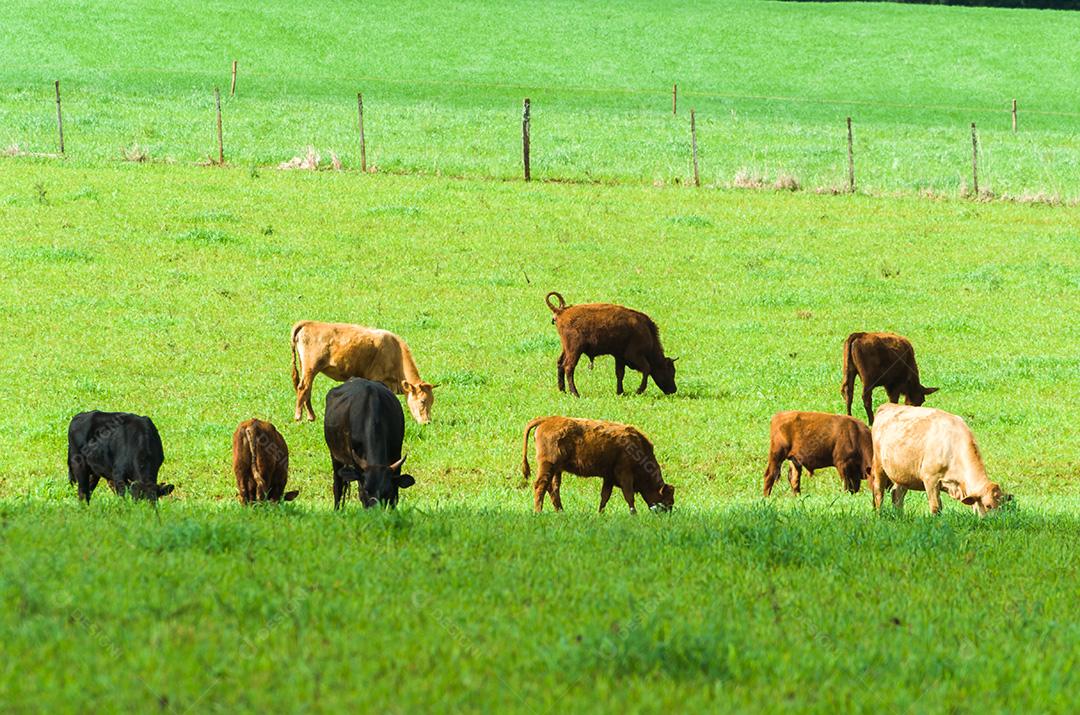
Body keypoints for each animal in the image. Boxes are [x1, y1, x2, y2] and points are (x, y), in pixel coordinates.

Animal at [293, 319, 436, 425]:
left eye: (432, 401)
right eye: (423, 401)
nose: (427, 422)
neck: (396, 352)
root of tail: (309, 323)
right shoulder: (377, 378)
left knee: (307, 390)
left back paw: (311, 417)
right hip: (311, 368)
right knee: (303, 388)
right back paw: (298, 417)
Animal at [321, 380, 414, 509]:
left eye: (387, 491)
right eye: (365, 490)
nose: (375, 510)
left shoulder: (396, 456)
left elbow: (395, 497)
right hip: (335, 456)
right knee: (338, 486)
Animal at [522, 416, 673, 511]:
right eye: (668, 501)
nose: (667, 515)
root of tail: (548, 419)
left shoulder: (609, 477)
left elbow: (605, 496)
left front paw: (600, 514)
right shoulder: (625, 474)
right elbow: (629, 496)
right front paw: (634, 514)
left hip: (556, 469)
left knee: (553, 488)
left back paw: (560, 511)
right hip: (548, 465)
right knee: (541, 486)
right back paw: (538, 512)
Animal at [868, 406, 1010, 518]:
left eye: (1003, 504)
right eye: (988, 505)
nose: (997, 521)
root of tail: (887, 406)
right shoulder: (930, 479)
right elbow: (936, 506)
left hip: (902, 473)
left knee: (897, 494)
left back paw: (899, 515)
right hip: (878, 465)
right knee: (879, 492)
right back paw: (879, 514)